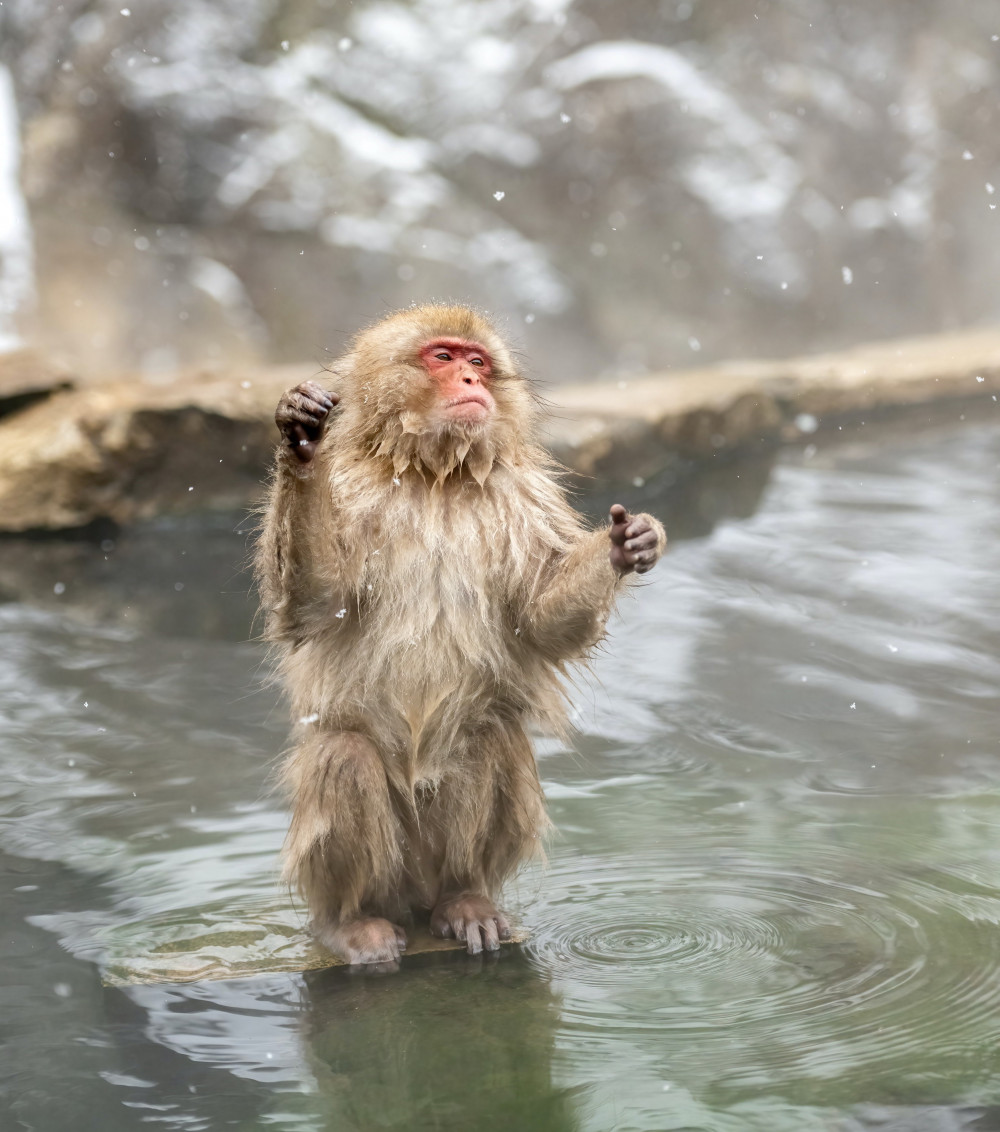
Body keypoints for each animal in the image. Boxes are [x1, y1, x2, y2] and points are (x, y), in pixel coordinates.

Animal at [258, 303, 665, 964]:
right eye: (443, 358)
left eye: (478, 361)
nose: (473, 381)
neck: (434, 475)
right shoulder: (353, 491)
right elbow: (316, 606)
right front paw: (299, 441)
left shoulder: (522, 497)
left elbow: (538, 621)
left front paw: (622, 546)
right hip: (381, 870)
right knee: (346, 756)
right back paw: (350, 921)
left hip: (435, 859)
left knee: (490, 734)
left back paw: (463, 899)